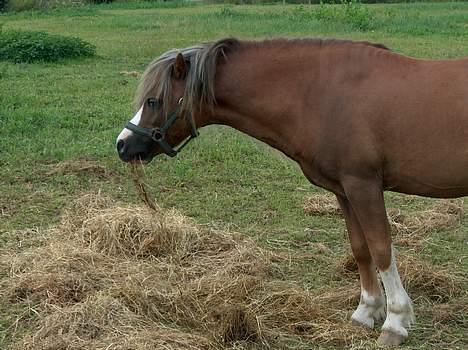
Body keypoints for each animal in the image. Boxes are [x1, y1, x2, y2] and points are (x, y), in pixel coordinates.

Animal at [114, 37, 468, 344]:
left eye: (153, 100)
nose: (123, 144)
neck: (322, 94)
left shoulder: (363, 185)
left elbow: (381, 249)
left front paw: (395, 321)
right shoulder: (345, 191)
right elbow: (361, 249)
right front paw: (366, 312)